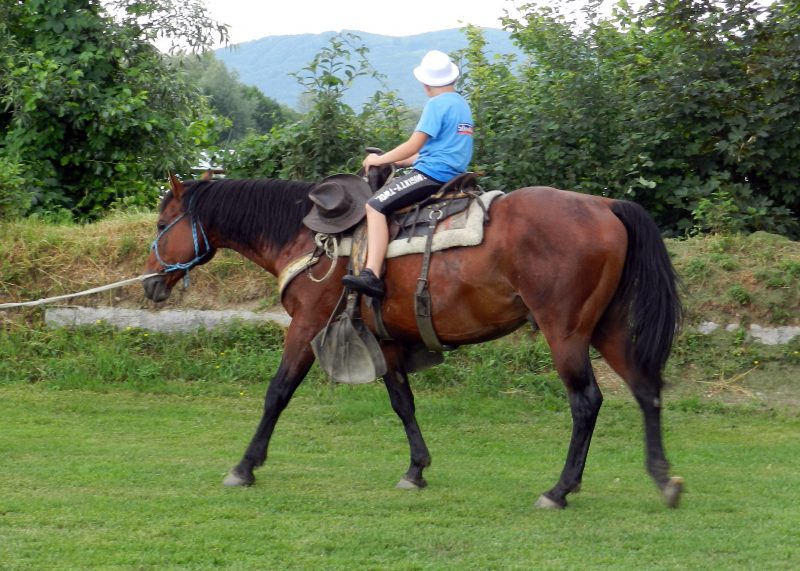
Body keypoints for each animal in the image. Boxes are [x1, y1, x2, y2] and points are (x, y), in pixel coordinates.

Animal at [142, 174, 680, 510]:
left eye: (161, 225)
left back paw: (560, 490)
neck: (307, 240)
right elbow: (403, 402)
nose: (149, 283)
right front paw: (416, 470)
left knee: (586, 402)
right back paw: (663, 478)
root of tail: (604, 205)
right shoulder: (388, 340)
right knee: (646, 390)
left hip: (565, 331)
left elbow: (277, 393)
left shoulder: (307, 326)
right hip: (606, 328)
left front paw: (245, 467)